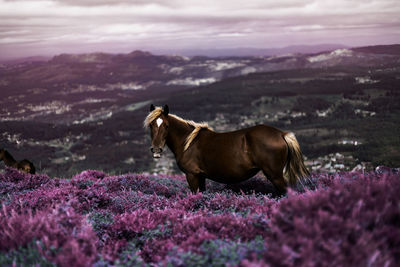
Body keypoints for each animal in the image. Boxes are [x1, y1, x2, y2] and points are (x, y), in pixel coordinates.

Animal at [144, 104, 310, 195]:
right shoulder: (201, 176)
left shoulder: (192, 175)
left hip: (275, 175)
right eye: (151, 125)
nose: (156, 150)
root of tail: (282, 134)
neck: (188, 142)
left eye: (166, 126)